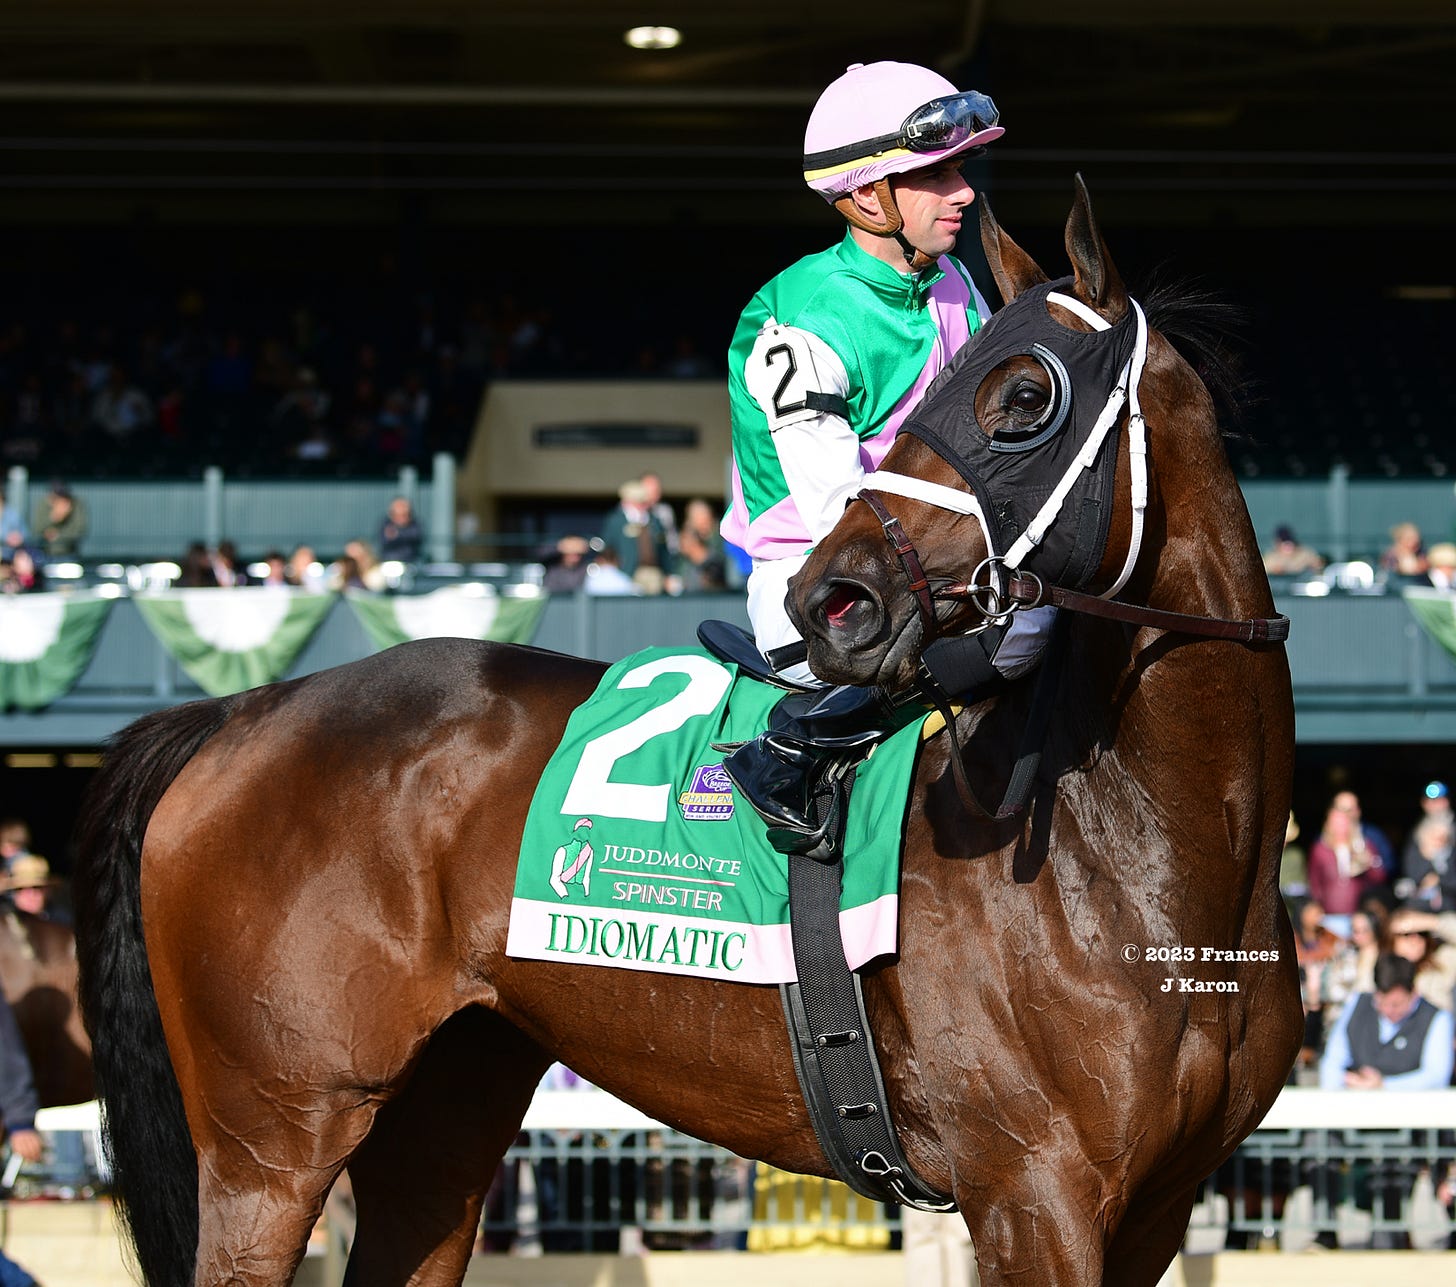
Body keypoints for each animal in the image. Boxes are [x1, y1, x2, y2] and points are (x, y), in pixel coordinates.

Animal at [70, 183, 1298, 1287]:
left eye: (1025, 395)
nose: (834, 598)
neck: (1144, 858)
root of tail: (237, 712)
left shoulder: (1153, 1207)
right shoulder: (1033, 1194)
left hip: (446, 1107)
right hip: (272, 1138)